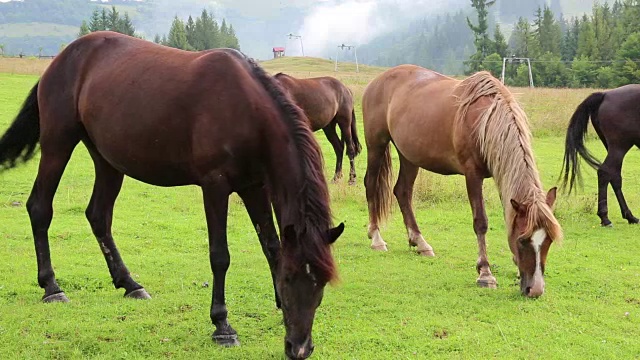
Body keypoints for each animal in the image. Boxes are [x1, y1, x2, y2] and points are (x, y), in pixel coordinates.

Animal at [0, 31, 344, 360]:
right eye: (290, 280)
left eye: (321, 284)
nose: (299, 349)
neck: (246, 110)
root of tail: (61, 60)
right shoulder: (215, 186)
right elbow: (220, 256)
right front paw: (222, 325)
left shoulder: (254, 187)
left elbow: (271, 246)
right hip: (58, 144)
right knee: (40, 208)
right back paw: (52, 287)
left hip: (107, 160)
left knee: (98, 216)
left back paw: (130, 284)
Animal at [362, 65, 564, 298]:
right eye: (523, 240)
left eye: (548, 239)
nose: (535, 289)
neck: (485, 119)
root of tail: (377, 81)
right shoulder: (472, 174)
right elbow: (481, 222)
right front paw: (485, 273)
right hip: (376, 144)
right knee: (371, 185)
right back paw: (376, 239)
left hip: (409, 155)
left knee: (403, 192)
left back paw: (420, 243)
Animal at [560, 84, 640, 226]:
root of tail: (605, 95)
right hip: (619, 147)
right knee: (605, 172)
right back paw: (605, 218)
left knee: (614, 176)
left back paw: (630, 217)